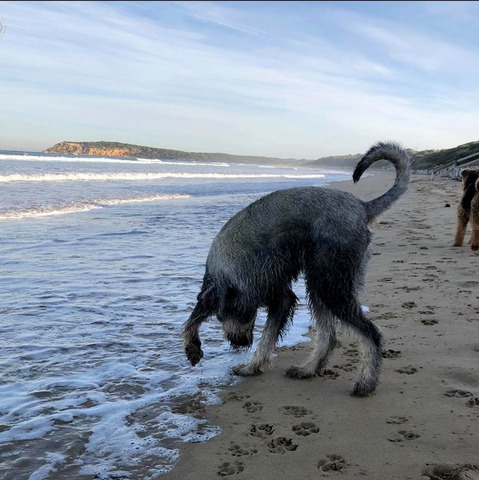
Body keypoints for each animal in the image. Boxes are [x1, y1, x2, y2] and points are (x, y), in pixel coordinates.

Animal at [182, 142, 410, 398]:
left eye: (225, 315)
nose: (241, 343)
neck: (231, 269)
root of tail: (362, 207)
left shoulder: (259, 291)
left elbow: (200, 317)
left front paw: (198, 348)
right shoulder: (278, 294)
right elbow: (266, 335)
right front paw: (252, 365)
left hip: (330, 284)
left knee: (370, 333)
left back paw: (366, 383)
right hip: (321, 283)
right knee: (329, 336)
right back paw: (308, 369)